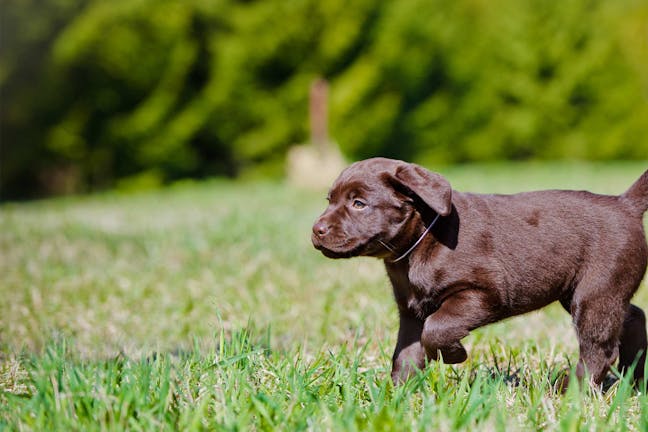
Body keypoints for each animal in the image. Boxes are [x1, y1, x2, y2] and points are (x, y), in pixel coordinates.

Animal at [312, 159, 648, 388]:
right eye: (330, 200)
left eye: (359, 203)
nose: (316, 230)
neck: (422, 241)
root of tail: (625, 204)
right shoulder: (410, 311)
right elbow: (406, 353)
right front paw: (397, 394)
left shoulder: (482, 292)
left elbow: (437, 328)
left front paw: (454, 355)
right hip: (590, 291)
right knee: (632, 317)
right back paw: (636, 376)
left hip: (594, 293)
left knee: (599, 348)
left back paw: (571, 393)